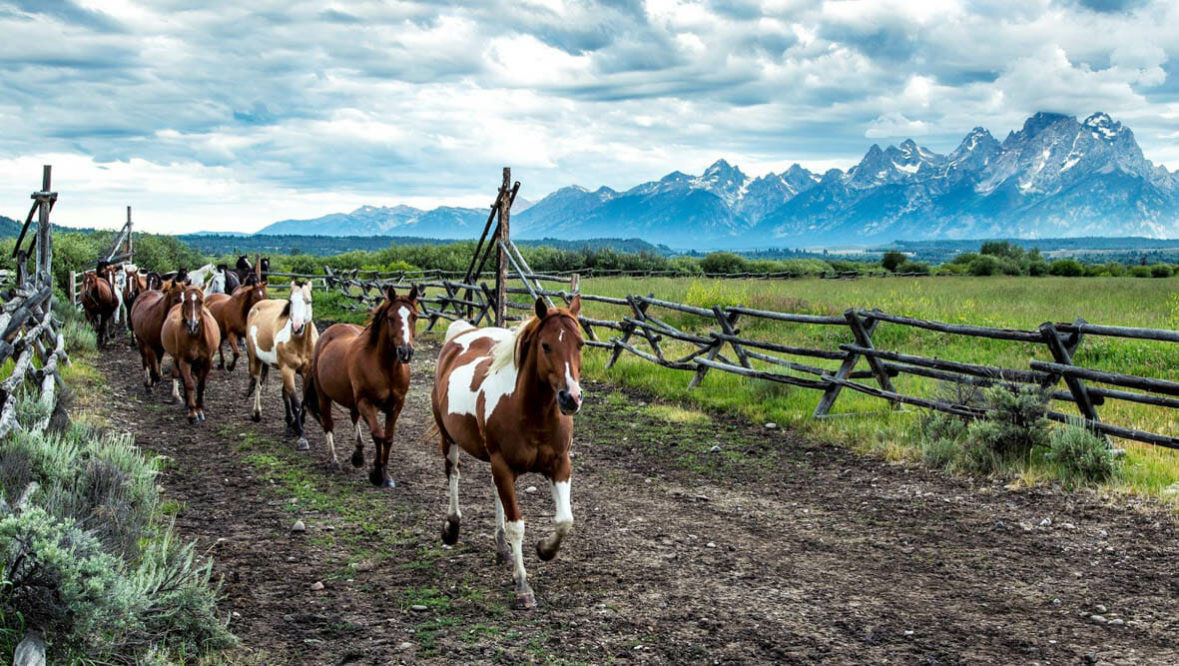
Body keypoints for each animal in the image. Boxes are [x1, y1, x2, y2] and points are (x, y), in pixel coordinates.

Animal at [161, 285, 220, 423]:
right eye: (185, 302)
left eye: (201, 302)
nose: (192, 326)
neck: (196, 338)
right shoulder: (184, 361)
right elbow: (189, 384)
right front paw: (193, 413)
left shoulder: (207, 362)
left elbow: (201, 385)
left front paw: (200, 410)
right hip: (177, 359)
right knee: (182, 377)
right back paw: (187, 404)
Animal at [245, 281, 318, 449]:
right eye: (291, 302)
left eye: (309, 301)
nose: (297, 327)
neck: (300, 344)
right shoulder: (288, 370)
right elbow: (296, 402)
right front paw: (302, 437)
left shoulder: (307, 372)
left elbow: (303, 401)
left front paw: (296, 426)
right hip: (256, 360)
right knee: (257, 383)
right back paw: (257, 413)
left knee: (284, 393)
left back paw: (289, 421)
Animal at [304, 285, 418, 485]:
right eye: (390, 318)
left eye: (414, 317)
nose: (405, 352)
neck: (385, 368)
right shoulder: (366, 402)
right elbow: (378, 435)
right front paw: (377, 474)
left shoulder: (396, 405)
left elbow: (388, 438)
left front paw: (385, 474)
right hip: (324, 396)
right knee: (328, 424)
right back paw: (334, 461)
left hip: (351, 398)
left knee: (353, 417)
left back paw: (358, 455)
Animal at [431, 295, 584, 610]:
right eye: (545, 345)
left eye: (581, 344)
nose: (570, 398)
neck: (532, 414)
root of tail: (460, 335)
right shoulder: (502, 465)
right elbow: (517, 526)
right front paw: (523, 585)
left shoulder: (560, 465)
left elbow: (565, 520)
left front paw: (545, 549)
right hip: (448, 437)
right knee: (453, 474)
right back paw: (452, 528)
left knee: (493, 491)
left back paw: (502, 549)